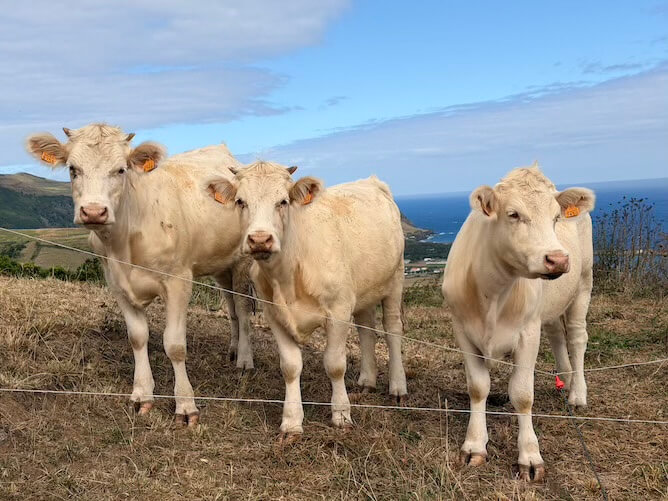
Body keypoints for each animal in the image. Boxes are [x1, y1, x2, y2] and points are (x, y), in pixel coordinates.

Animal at [26, 124, 255, 426]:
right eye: (73, 169)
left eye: (121, 169)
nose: (94, 211)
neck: (126, 239)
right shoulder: (116, 283)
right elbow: (137, 337)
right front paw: (142, 395)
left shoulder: (179, 281)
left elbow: (174, 345)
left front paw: (186, 406)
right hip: (221, 262)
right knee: (231, 307)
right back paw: (232, 349)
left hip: (243, 259)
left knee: (242, 308)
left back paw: (244, 359)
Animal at [204, 161, 408, 442]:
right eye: (240, 201)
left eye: (283, 201)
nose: (259, 240)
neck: (290, 271)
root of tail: (371, 181)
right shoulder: (274, 314)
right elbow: (290, 366)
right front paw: (291, 422)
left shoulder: (338, 310)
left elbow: (335, 365)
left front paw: (341, 415)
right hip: (365, 290)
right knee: (367, 330)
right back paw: (366, 381)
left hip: (395, 278)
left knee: (393, 329)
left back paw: (398, 387)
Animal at [441, 165, 595, 481]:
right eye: (513, 214)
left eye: (556, 217)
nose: (558, 259)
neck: (493, 291)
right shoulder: (462, 329)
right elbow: (478, 387)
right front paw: (475, 446)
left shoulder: (527, 332)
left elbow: (523, 395)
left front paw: (530, 457)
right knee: (556, 333)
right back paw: (566, 378)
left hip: (584, 285)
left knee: (576, 338)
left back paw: (577, 393)